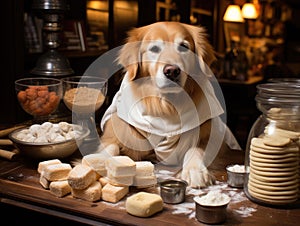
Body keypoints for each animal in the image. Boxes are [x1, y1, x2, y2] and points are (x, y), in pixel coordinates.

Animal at [98, 21, 241, 187]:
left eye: (184, 46)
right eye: (154, 49)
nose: (172, 71)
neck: (165, 107)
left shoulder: (214, 139)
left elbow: (195, 149)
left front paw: (195, 171)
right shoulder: (118, 132)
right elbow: (111, 146)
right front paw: (97, 162)